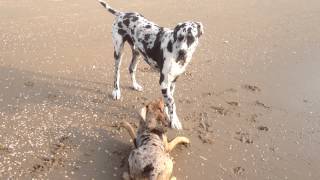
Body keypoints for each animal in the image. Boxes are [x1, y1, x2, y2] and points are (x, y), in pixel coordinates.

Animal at [97, 0, 204, 129]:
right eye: (179, 37)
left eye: (191, 38)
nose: (182, 52)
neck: (173, 48)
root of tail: (122, 14)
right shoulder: (163, 82)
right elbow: (172, 102)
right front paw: (174, 121)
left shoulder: (172, 81)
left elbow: (168, 100)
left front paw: (168, 114)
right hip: (118, 52)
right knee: (116, 73)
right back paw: (116, 91)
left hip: (137, 52)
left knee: (131, 68)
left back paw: (135, 85)